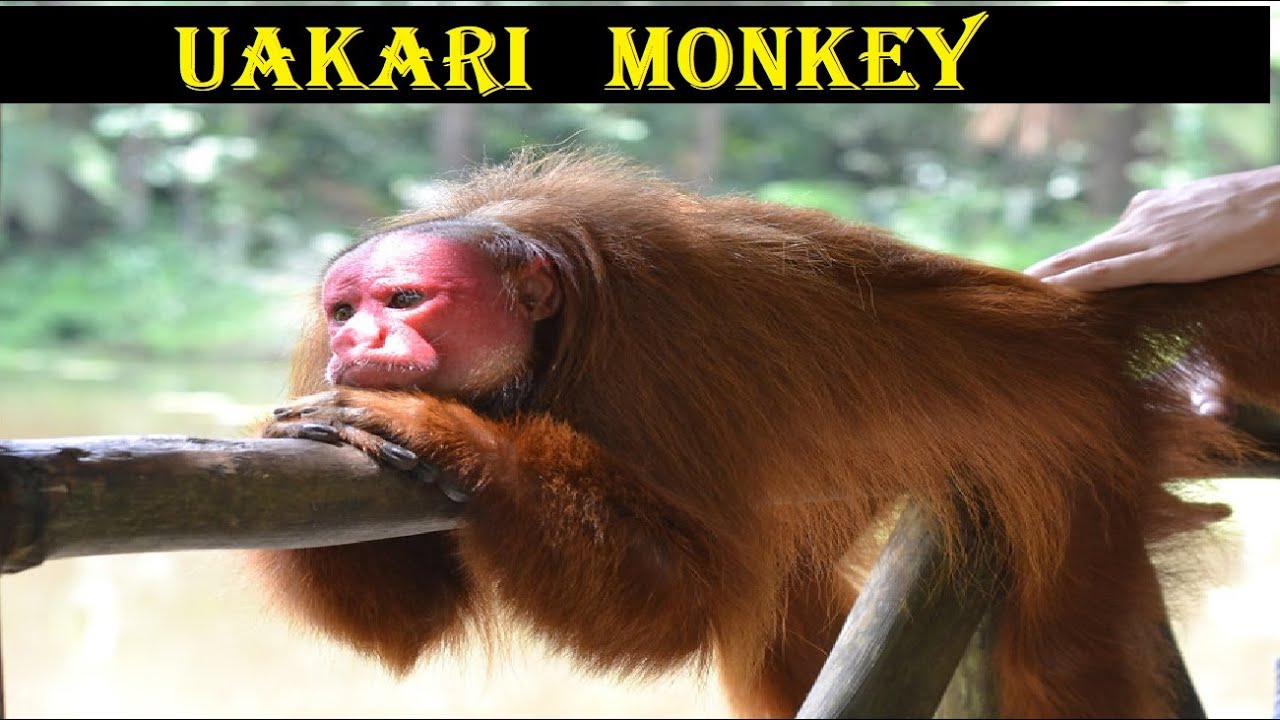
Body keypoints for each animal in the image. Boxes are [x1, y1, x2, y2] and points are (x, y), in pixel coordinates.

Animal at [252, 150, 1279, 719]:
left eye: (404, 300)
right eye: (344, 310)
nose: (361, 341)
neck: (547, 338)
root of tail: (1068, 322)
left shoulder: (659, 355)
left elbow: (671, 602)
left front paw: (444, 433)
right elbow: (405, 623)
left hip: (1081, 436)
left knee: (1066, 655)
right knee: (782, 633)